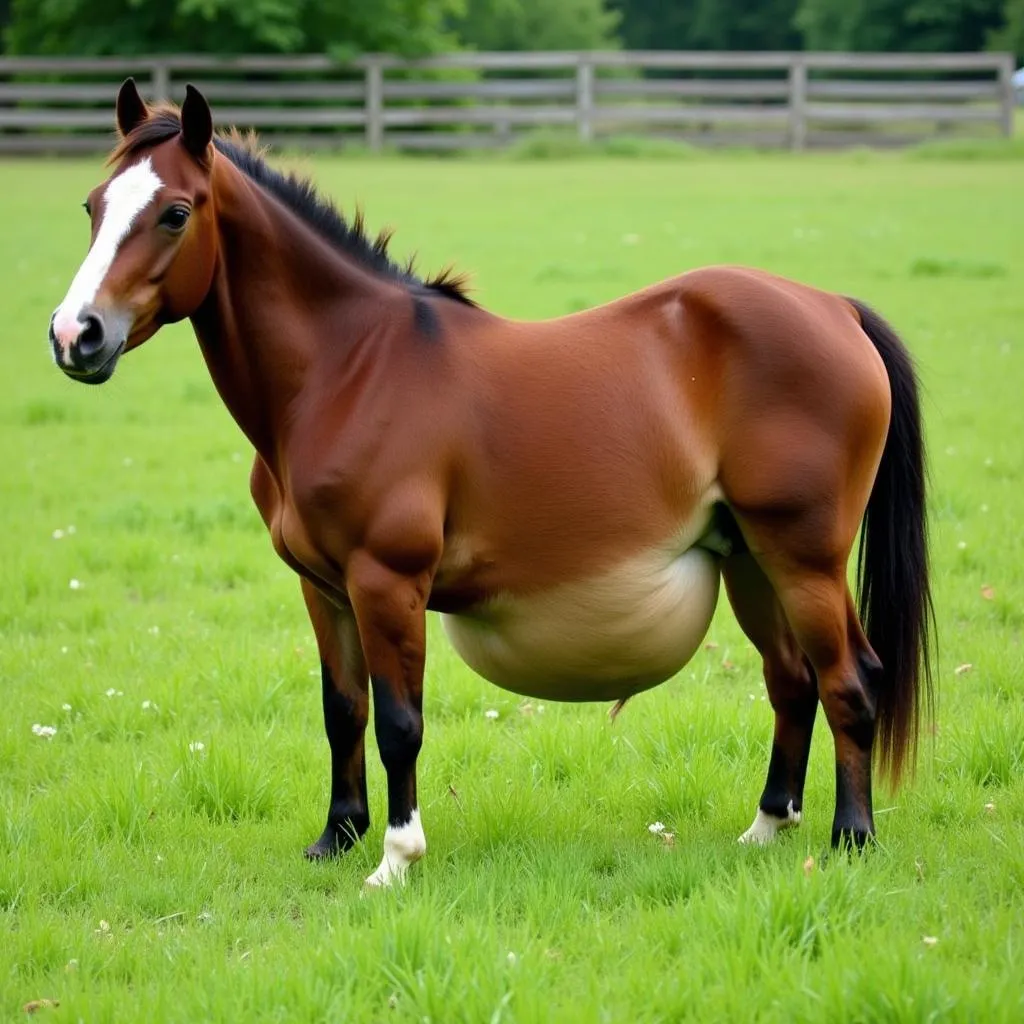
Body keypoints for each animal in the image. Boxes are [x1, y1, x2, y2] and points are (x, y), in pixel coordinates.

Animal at [48, 81, 933, 888]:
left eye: (174, 213)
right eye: (93, 205)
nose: (75, 335)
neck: (348, 367)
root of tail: (834, 308)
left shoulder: (386, 583)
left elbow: (398, 721)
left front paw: (396, 858)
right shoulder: (324, 589)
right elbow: (344, 712)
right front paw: (337, 838)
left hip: (801, 557)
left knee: (850, 679)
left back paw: (852, 837)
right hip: (749, 557)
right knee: (791, 680)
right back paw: (766, 827)